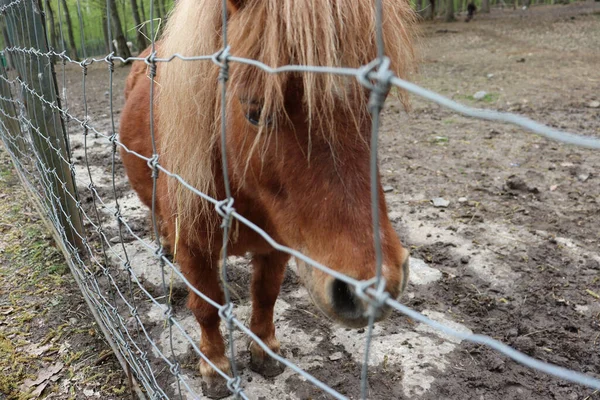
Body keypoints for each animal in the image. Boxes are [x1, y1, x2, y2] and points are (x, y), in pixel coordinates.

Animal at [119, 0, 414, 396]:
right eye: (255, 112)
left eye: (373, 107)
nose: (368, 290)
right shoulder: (194, 248)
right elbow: (205, 307)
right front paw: (215, 368)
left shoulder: (279, 244)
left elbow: (266, 294)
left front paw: (265, 351)